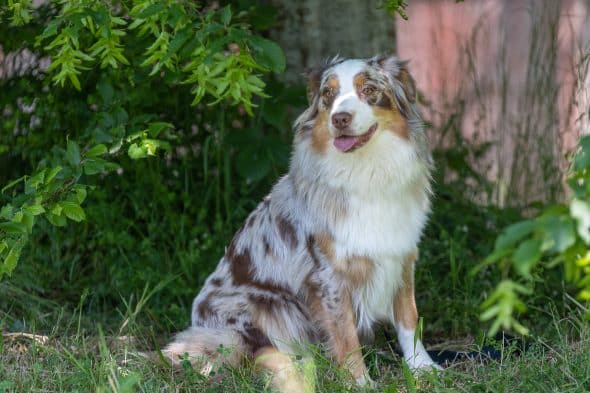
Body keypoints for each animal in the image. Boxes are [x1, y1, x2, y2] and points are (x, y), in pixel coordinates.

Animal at [164, 54, 442, 388]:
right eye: (328, 94)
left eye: (369, 90)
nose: (340, 119)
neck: (366, 171)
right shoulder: (328, 275)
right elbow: (346, 337)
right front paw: (359, 383)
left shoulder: (400, 256)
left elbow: (409, 319)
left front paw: (422, 368)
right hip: (264, 306)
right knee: (256, 351)